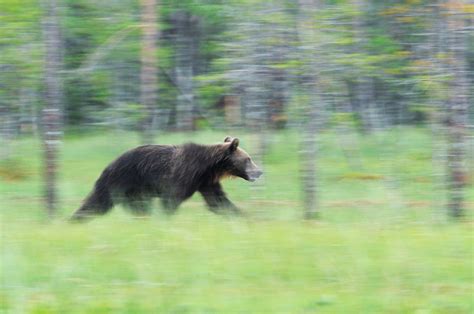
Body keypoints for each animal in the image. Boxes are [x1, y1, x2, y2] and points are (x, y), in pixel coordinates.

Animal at [70, 137, 262, 221]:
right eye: (248, 159)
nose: (260, 171)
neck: (208, 167)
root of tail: (108, 165)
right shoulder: (183, 175)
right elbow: (171, 199)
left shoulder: (206, 182)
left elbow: (218, 202)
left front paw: (244, 216)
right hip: (123, 181)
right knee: (98, 203)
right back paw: (75, 218)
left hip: (133, 190)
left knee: (138, 207)